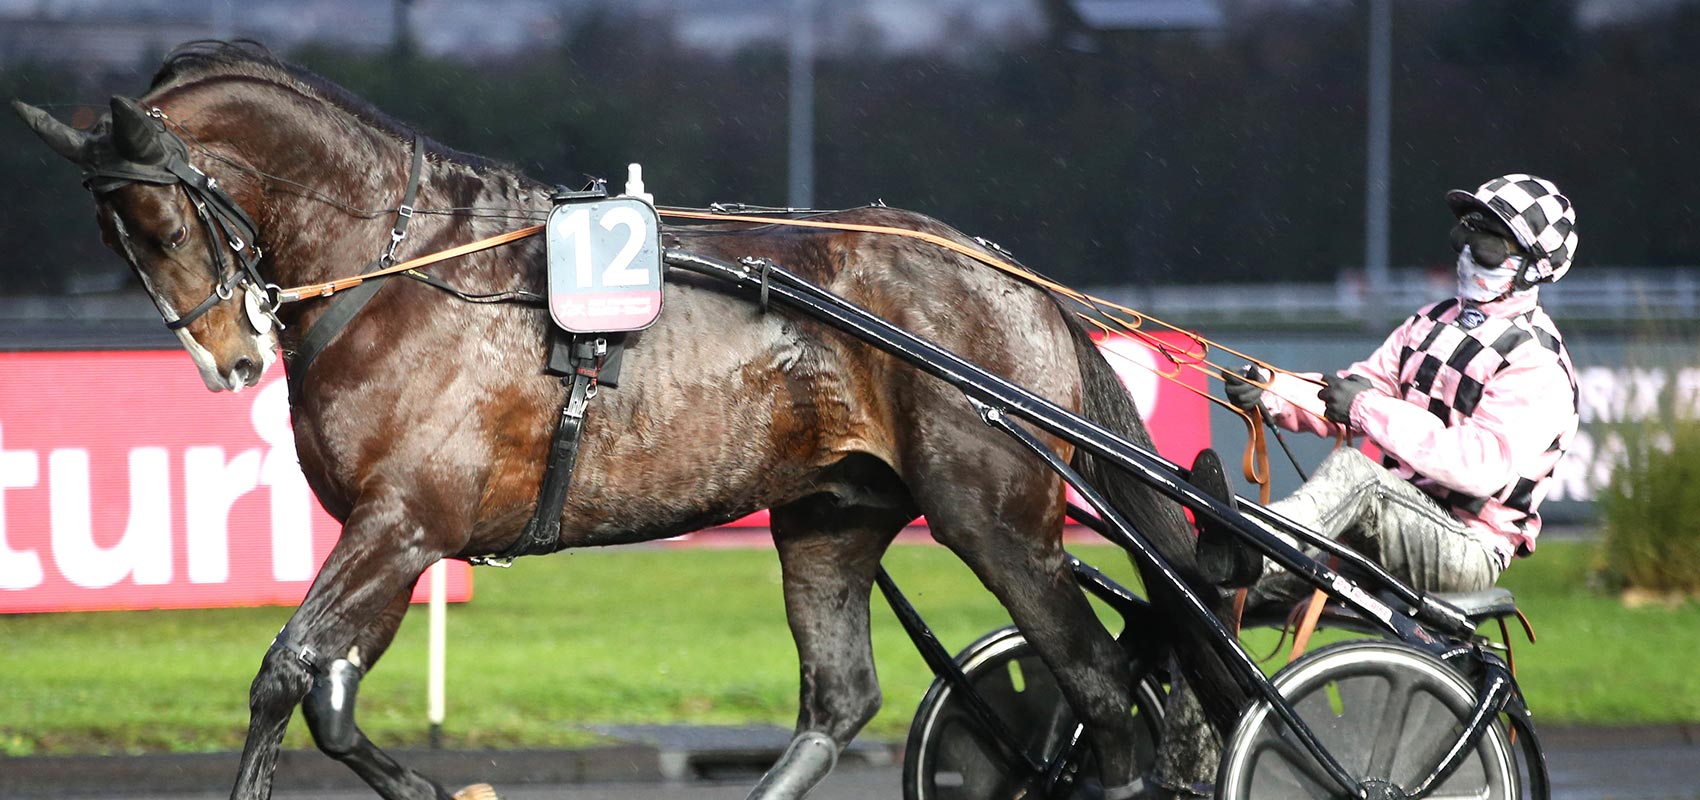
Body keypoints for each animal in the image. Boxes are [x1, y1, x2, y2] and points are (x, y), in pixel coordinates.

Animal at [9, 42, 1237, 800]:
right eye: (119, 235)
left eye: (163, 220)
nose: (228, 360)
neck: (406, 267)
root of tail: (1007, 275)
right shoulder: (396, 536)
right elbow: (329, 702)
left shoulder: (400, 523)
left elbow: (283, 674)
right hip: (830, 516)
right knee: (842, 697)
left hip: (992, 512)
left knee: (1103, 692)